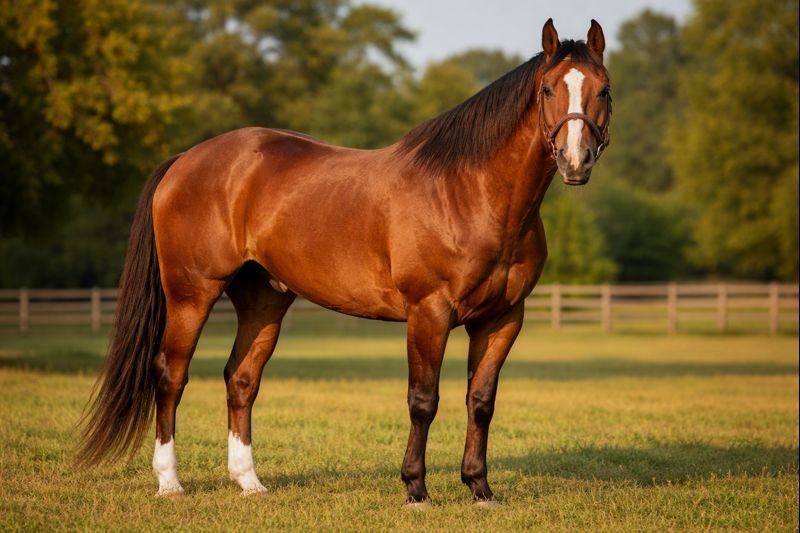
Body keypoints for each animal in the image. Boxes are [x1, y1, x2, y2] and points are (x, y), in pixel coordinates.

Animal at [77, 18, 611, 507]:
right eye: (547, 88)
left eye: (603, 89)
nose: (576, 161)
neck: (470, 192)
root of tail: (186, 159)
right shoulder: (428, 313)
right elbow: (423, 400)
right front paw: (416, 488)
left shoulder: (502, 319)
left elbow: (480, 402)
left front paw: (480, 488)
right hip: (191, 294)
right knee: (171, 374)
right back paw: (170, 483)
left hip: (263, 300)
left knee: (241, 380)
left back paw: (249, 482)